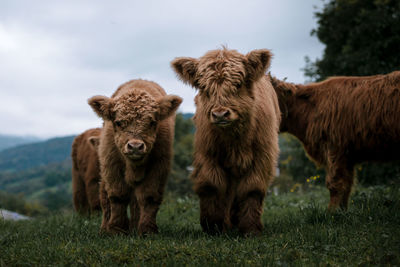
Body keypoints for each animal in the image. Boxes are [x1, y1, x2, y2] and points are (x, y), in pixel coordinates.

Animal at [88, 80, 182, 237]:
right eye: (119, 122)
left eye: (152, 122)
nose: (135, 146)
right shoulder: (111, 165)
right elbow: (118, 196)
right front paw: (116, 229)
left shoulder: (159, 167)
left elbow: (148, 197)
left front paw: (147, 230)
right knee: (105, 198)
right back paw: (105, 228)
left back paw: (133, 227)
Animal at [172, 48, 282, 237]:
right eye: (204, 88)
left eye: (238, 84)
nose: (220, 114)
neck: (234, 141)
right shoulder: (207, 154)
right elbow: (212, 184)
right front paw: (214, 226)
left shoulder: (262, 157)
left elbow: (252, 188)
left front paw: (250, 228)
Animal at [268, 71, 400, 211]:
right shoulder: (347, 157)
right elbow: (347, 184)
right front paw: (342, 210)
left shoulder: (335, 149)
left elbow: (335, 183)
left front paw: (332, 211)